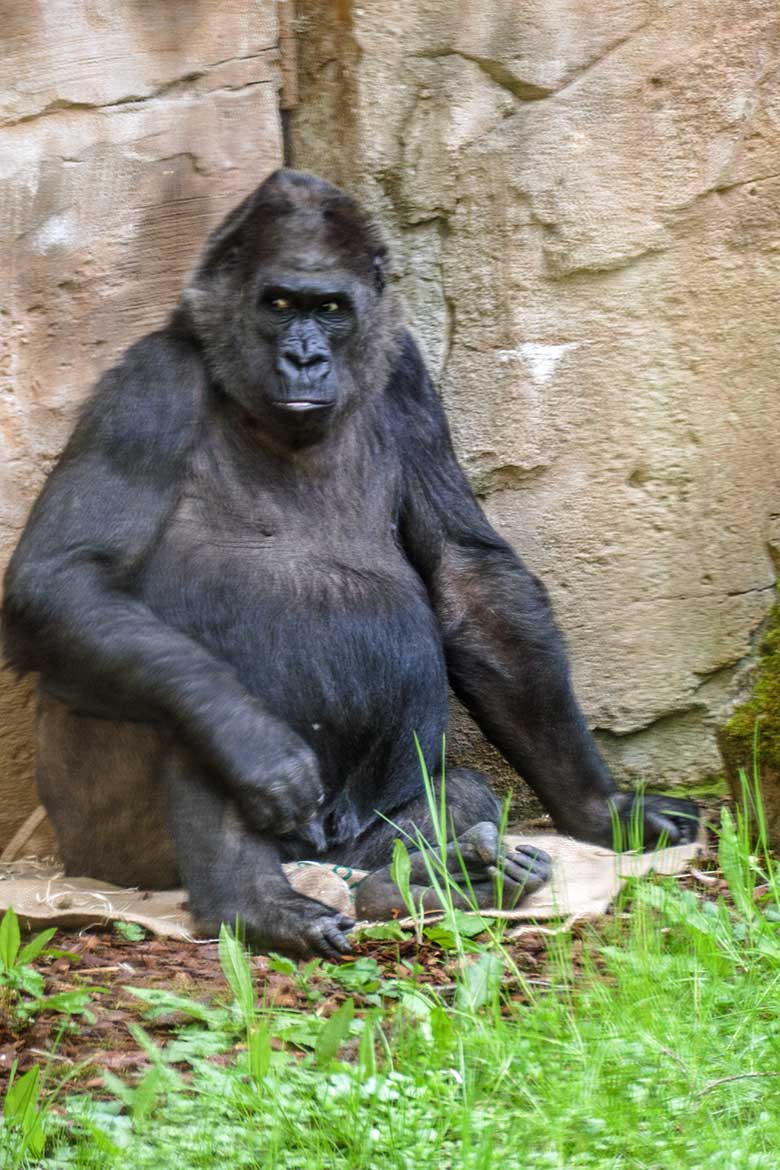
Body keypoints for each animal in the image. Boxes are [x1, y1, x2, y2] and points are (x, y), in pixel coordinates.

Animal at [0, 173, 696, 959]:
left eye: (330, 309)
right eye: (278, 304)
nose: (306, 359)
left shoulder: (408, 379)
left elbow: (471, 586)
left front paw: (603, 808)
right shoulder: (148, 386)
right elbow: (63, 580)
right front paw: (253, 742)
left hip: (347, 842)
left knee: (447, 803)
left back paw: (425, 880)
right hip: (108, 851)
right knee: (170, 688)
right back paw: (255, 902)